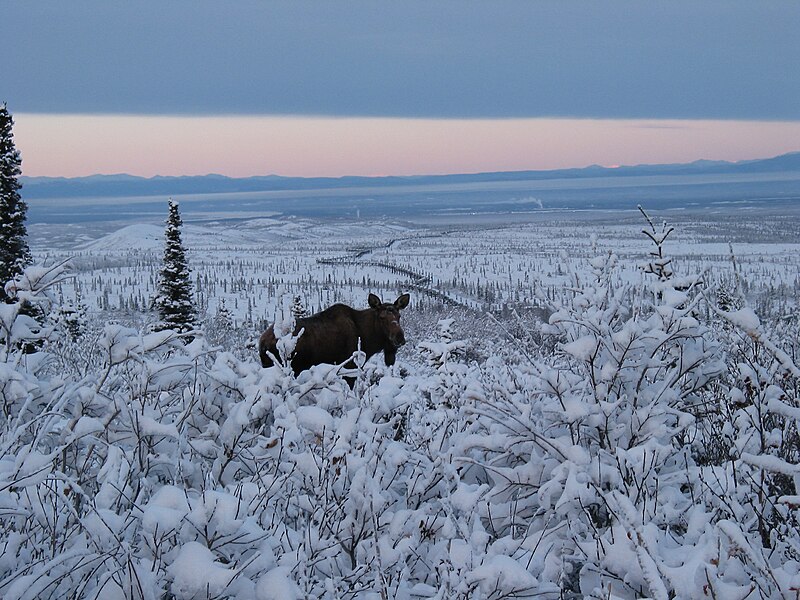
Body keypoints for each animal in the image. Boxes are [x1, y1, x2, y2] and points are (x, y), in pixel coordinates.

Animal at [260, 292, 412, 380]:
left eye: (399, 316)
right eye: (381, 317)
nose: (400, 338)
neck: (367, 339)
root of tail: (262, 342)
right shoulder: (350, 367)